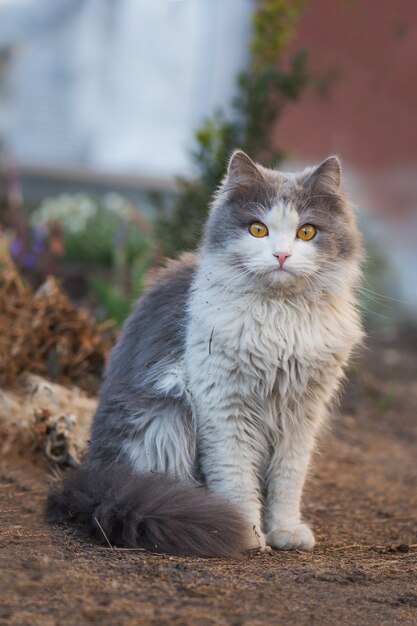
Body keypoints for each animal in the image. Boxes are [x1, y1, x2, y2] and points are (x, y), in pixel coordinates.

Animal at [47, 150, 362, 556]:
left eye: (306, 231)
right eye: (257, 230)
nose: (281, 255)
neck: (279, 319)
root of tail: (94, 478)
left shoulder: (301, 415)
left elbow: (288, 480)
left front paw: (285, 532)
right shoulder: (224, 406)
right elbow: (235, 477)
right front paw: (247, 534)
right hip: (168, 416)